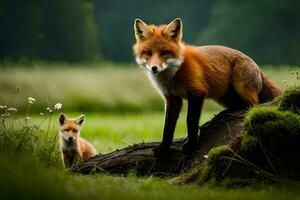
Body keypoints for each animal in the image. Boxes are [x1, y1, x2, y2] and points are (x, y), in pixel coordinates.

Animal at [132, 18, 282, 157]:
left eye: (164, 52)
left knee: (254, 105)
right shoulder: (172, 98)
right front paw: (164, 148)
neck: (173, 75)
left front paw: (191, 146)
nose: (154, 68)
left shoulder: (197, 93)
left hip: (241, 87)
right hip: (222, 97)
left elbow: (190, 121)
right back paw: (223, 114)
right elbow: (167, 126)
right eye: (148, 52)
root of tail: (256, 64)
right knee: (239, 105)